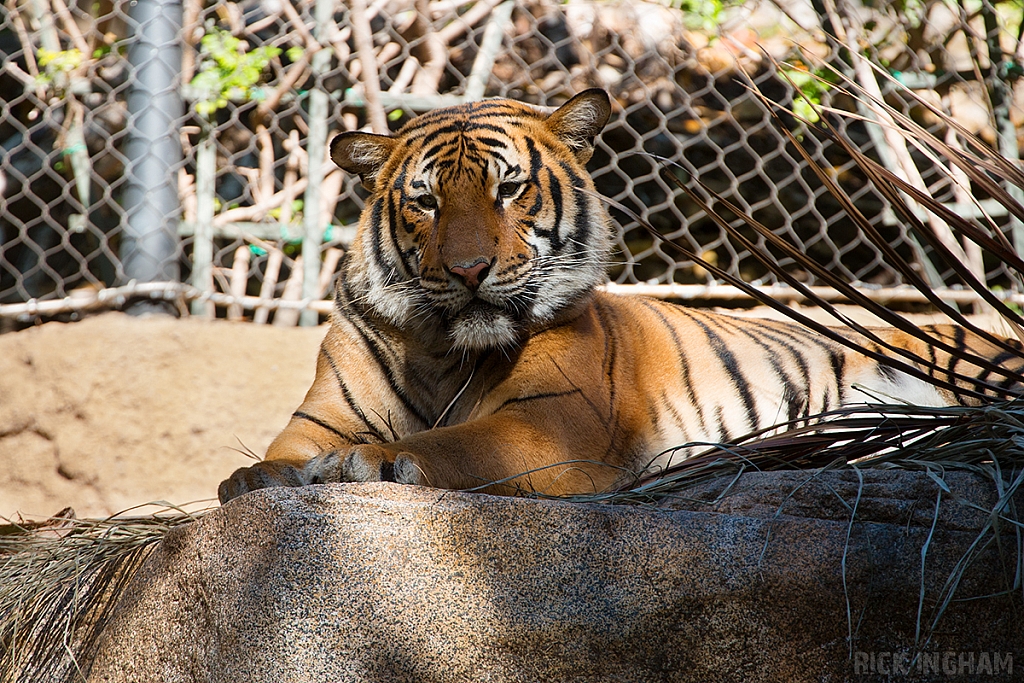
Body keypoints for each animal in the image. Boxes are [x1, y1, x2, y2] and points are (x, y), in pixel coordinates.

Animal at [220, 88, 1024, 505]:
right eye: (425, 202)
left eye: (508, 189)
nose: (471, 269)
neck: (444, 349)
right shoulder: (317, 419)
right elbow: (270, 463)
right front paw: (256, 478)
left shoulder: (553, 424)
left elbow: (447, 442)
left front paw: (369, 463)